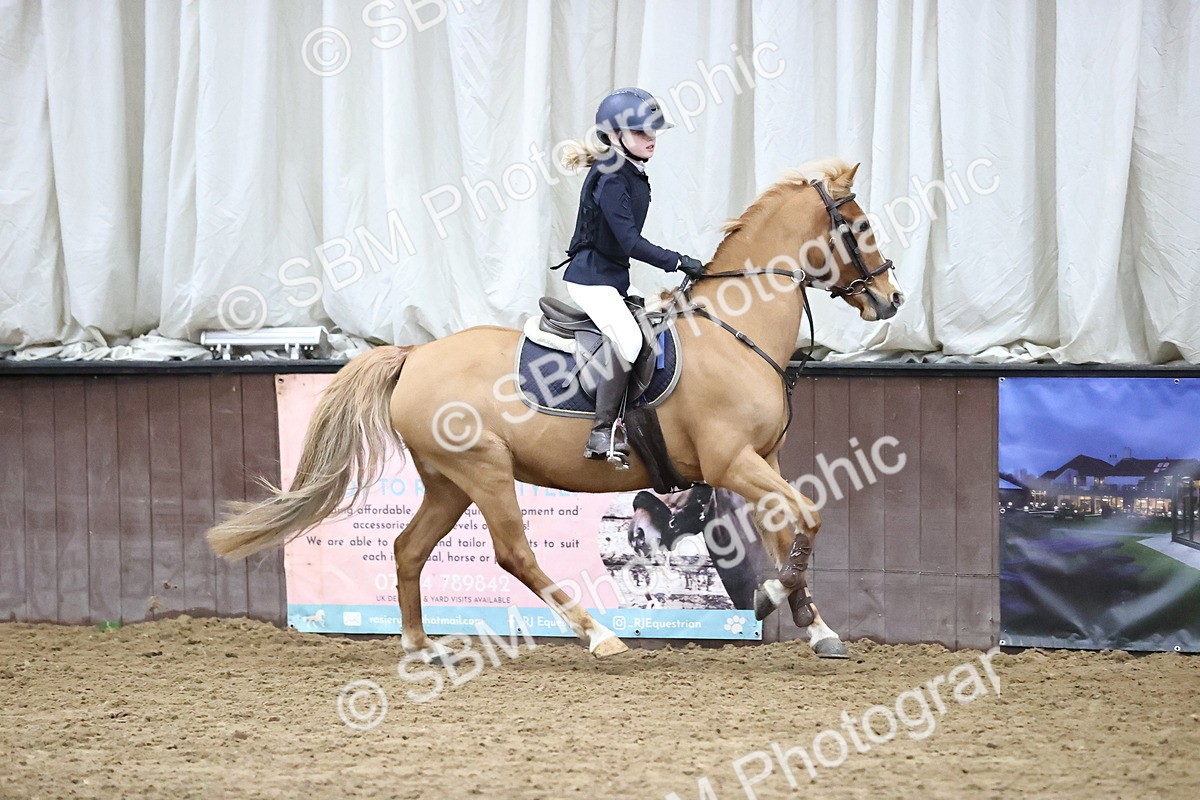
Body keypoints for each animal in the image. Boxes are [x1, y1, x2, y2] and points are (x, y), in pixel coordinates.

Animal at [206, 158, 903, 660]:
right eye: (862, 226)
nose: (891, 298)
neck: (734, 329)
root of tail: (416, 354)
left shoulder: (764, 459)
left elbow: (793, 526)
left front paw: (814, 626)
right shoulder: (731, 461)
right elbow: (809, 515)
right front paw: (769, 597)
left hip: (447, 481)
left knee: (407, 549)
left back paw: (420, 646)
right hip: (485, 471)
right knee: (514, 553)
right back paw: (602, 637)